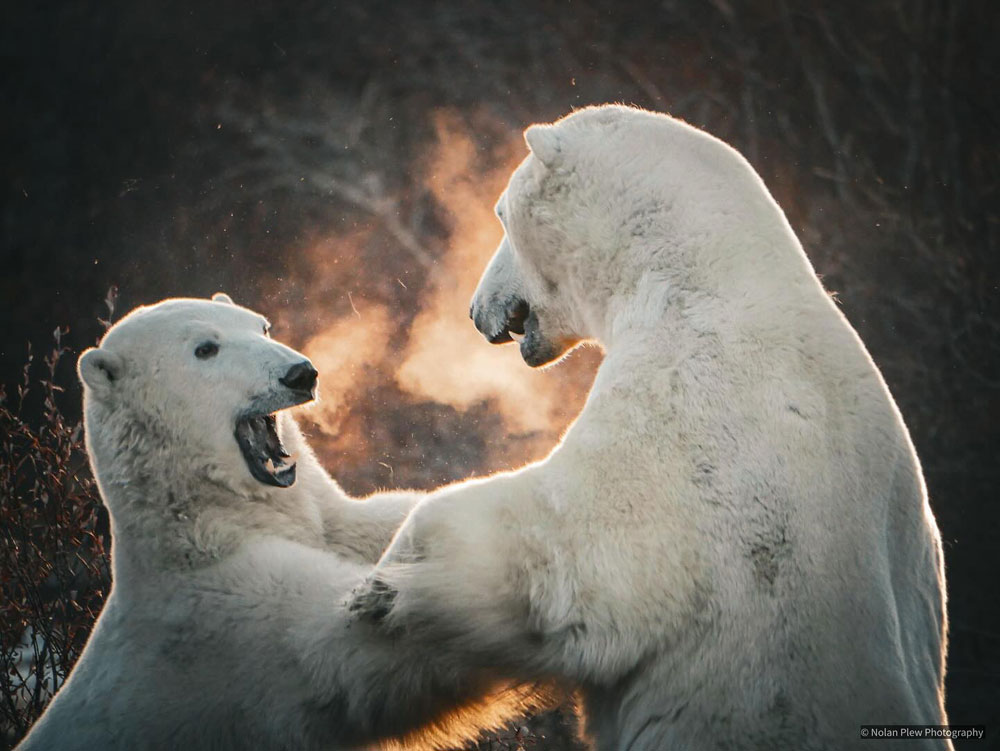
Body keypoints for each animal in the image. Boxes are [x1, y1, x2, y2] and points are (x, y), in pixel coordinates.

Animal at [16, 294, 551, 751]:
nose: (301, 373)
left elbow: (375, 523)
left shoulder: (328, 524)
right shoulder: (235, 616)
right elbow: (360, 644)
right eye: (205, 348)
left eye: (263, 326)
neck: (204, 526)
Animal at [351, 105, 951, 750]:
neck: (704, 275)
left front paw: (383, 584)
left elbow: (571, 543)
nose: (475, 310)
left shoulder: (687, 401)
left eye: (500, 213)